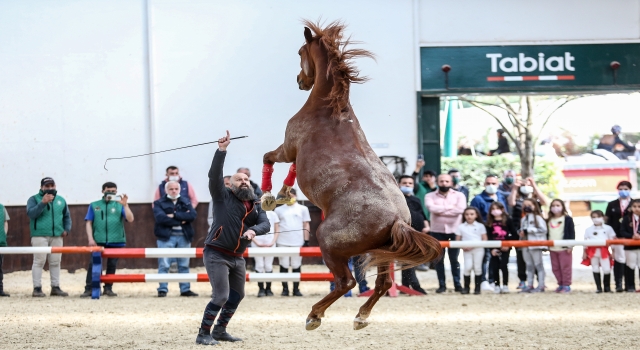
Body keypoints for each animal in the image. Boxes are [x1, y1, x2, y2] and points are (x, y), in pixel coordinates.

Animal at [260, 20, 440, 330]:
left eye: (300, 52)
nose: (300, 80)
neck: (328, 108)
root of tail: (396, 219)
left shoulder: (288, 147)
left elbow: (269, 158)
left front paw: (270, 196)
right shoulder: (294, 154)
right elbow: (290, 170)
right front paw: (281, 194)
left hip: (328, 243)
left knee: (345, 282)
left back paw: (314, 316)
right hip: (383, 252)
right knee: (382, 284)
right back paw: (361, 316)